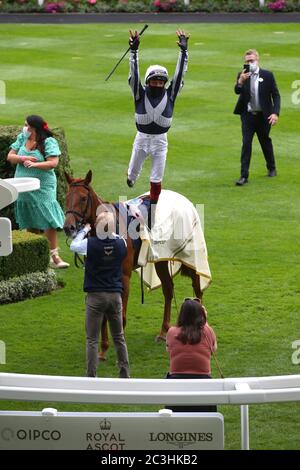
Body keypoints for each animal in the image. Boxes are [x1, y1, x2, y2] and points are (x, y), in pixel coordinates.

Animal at [63, 173, 209, 360]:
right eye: (66, 197)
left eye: (83, 198)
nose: (68, 227)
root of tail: (183, 200)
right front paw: (103, 349)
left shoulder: (123, 277)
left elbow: (121, 316)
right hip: (161, 261)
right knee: (168, 289)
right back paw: (163, 331)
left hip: (190, 258)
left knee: (197, 287)